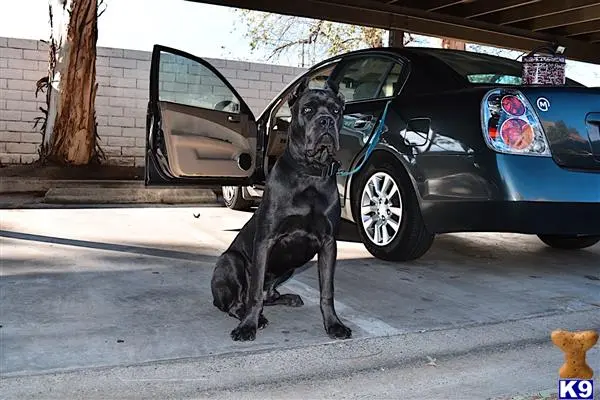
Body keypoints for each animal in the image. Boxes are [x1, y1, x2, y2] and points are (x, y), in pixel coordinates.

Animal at [211, 77, 352, 340]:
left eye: (336, 111)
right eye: (307, 110)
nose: (326, 121)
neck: (309, 173)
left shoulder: (329, 243)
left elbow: (327, 291)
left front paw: (334, 324)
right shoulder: (265, 240)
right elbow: (255, 293)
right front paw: (248, 326)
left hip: (287, 268)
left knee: (269, 295)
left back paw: (288, 298)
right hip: (231, 260)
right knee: (239, 302)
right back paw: (254, 317)